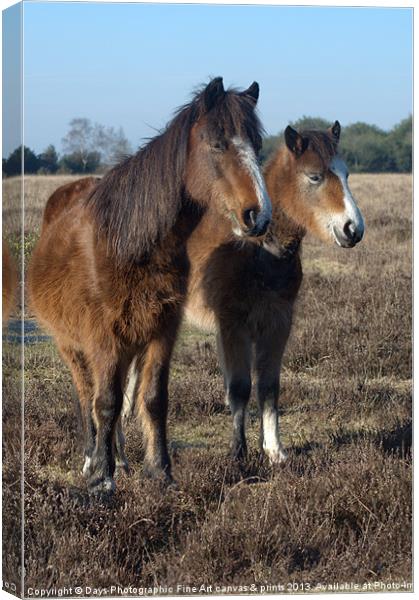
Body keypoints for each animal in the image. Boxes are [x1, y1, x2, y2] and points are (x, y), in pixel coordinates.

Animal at [28, 77, 272, 496]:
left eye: (256, 144)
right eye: (217, 143)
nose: (258, 215)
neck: (133, 245)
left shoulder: (162, 331)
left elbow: (154, 399)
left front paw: (160, 472)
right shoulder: (103, 338)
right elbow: (106, 402)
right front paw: (101, 480)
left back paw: (122, 459)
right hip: (71, 345)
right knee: (86, 397)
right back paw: (93, 458)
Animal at [123, 118, 366, 464]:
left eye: (346, 175)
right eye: (315, 176)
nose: (353, 229)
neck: (258, 252)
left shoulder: (277, 323)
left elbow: (268, 386)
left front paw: (275, 451)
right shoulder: (232, 325)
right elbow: (239, 387)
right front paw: (238, 452)